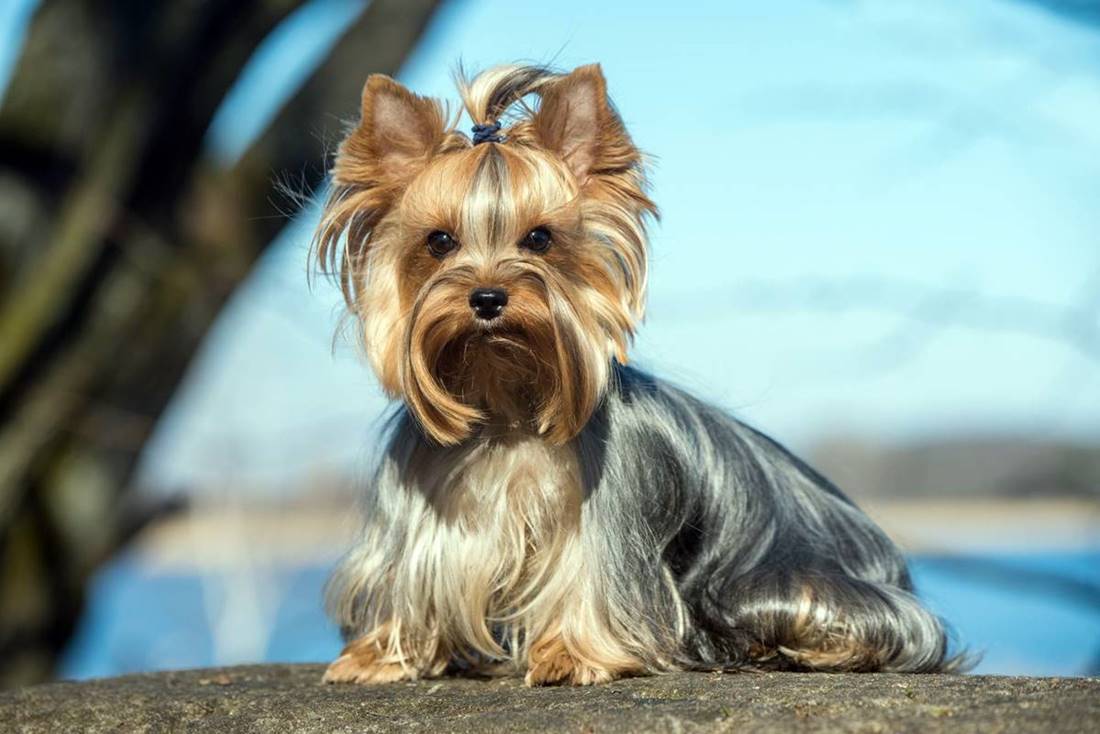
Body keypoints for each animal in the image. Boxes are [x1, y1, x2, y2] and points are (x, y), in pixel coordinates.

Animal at [312, 64, 954, 691]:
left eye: (539, 237)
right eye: (439, 241)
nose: (488, 298)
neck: (506, 406)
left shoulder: (607, 514)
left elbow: (589, 577)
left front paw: (571, 654)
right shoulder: (421, 508)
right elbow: (408, 576)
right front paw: (379, 654)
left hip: (784, 586)